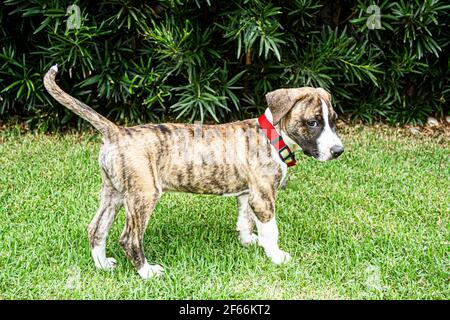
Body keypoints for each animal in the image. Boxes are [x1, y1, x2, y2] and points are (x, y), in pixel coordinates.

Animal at [44, 65, 342, 280]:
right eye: (313, 122)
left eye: (334, 119)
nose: (338, 150)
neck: (273, 135)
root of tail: (117, 132)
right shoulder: (263, 197)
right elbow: (271, 230)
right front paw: (276, 256)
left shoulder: (248, 194)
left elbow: (244, 220)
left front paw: (248, 242)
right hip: (143, 195)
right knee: (128, 238)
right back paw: (147, 272)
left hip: (114, 192)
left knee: (96, 228)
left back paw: (103, 264)